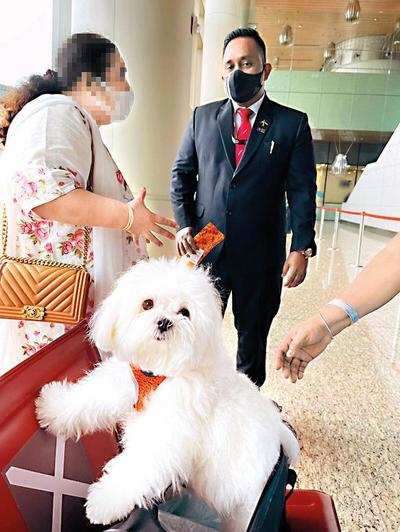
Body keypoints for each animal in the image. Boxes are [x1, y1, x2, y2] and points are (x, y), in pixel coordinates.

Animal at [36, 258, 298, 528]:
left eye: (184, 312)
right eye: (147, 304)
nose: (164, 322)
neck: (159, 373)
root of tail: (279, 435)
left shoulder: (165, 433)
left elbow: (136, 467)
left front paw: (104, 502)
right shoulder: (123, 381)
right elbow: (88, 397)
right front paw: (52, 406)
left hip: (243, 503)